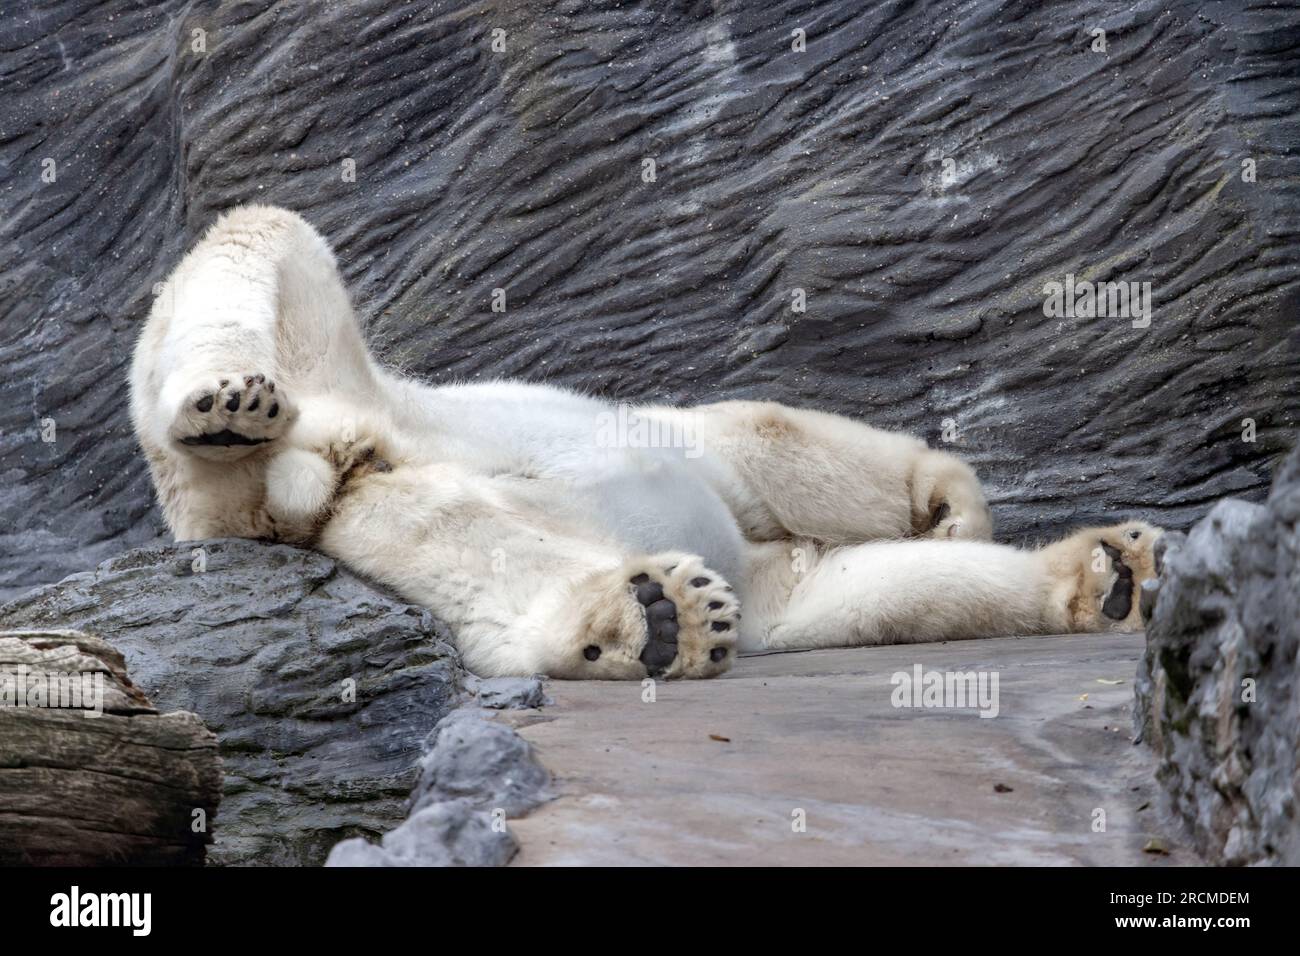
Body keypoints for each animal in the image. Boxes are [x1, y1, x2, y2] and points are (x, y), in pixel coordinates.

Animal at [131, 205, 1164, 681]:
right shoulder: (710, 448)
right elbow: (776, 435)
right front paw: (948, 500)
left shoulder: (775, 573)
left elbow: (870, 593)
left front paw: (1113, 575)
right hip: (338, 373)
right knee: (261, 237)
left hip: (360, 461)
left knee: (453, 538)